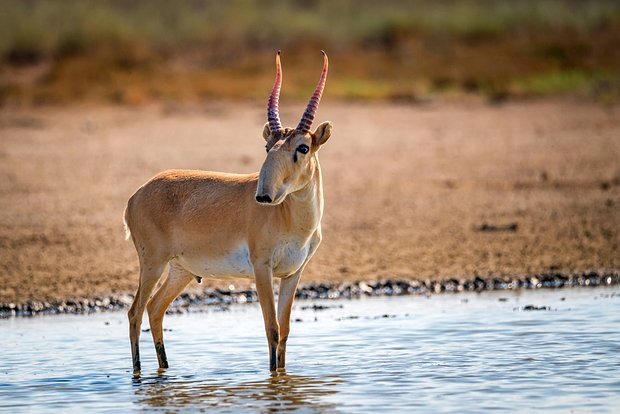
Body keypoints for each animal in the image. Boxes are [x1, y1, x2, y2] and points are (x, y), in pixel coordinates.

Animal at [123, 51, 332, 376]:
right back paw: (138, 375)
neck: (291, 220)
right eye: (267, 146)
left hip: (181, 270)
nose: (263, 195)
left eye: (303, 147)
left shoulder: (293, 273)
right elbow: (271, 328)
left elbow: (285, 331)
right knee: (135, 312)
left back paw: (165, 369)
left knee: (155, 309)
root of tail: (136, 196)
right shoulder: (262, 269)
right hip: (153, 264)